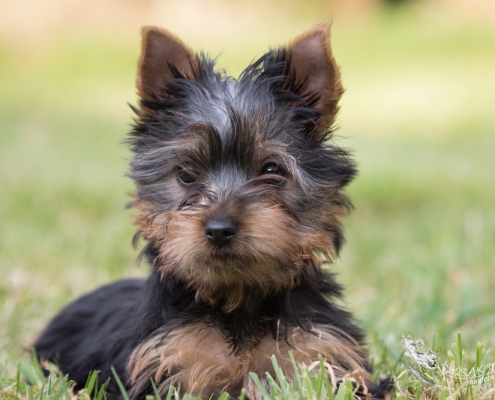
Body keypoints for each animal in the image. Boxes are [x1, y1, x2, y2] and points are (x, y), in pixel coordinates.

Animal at [34, 23, 392, 398]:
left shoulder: (323, 350)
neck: (236, 300)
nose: (219, 229)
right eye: (187, 174)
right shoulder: (167, 359)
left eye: (271, 170)